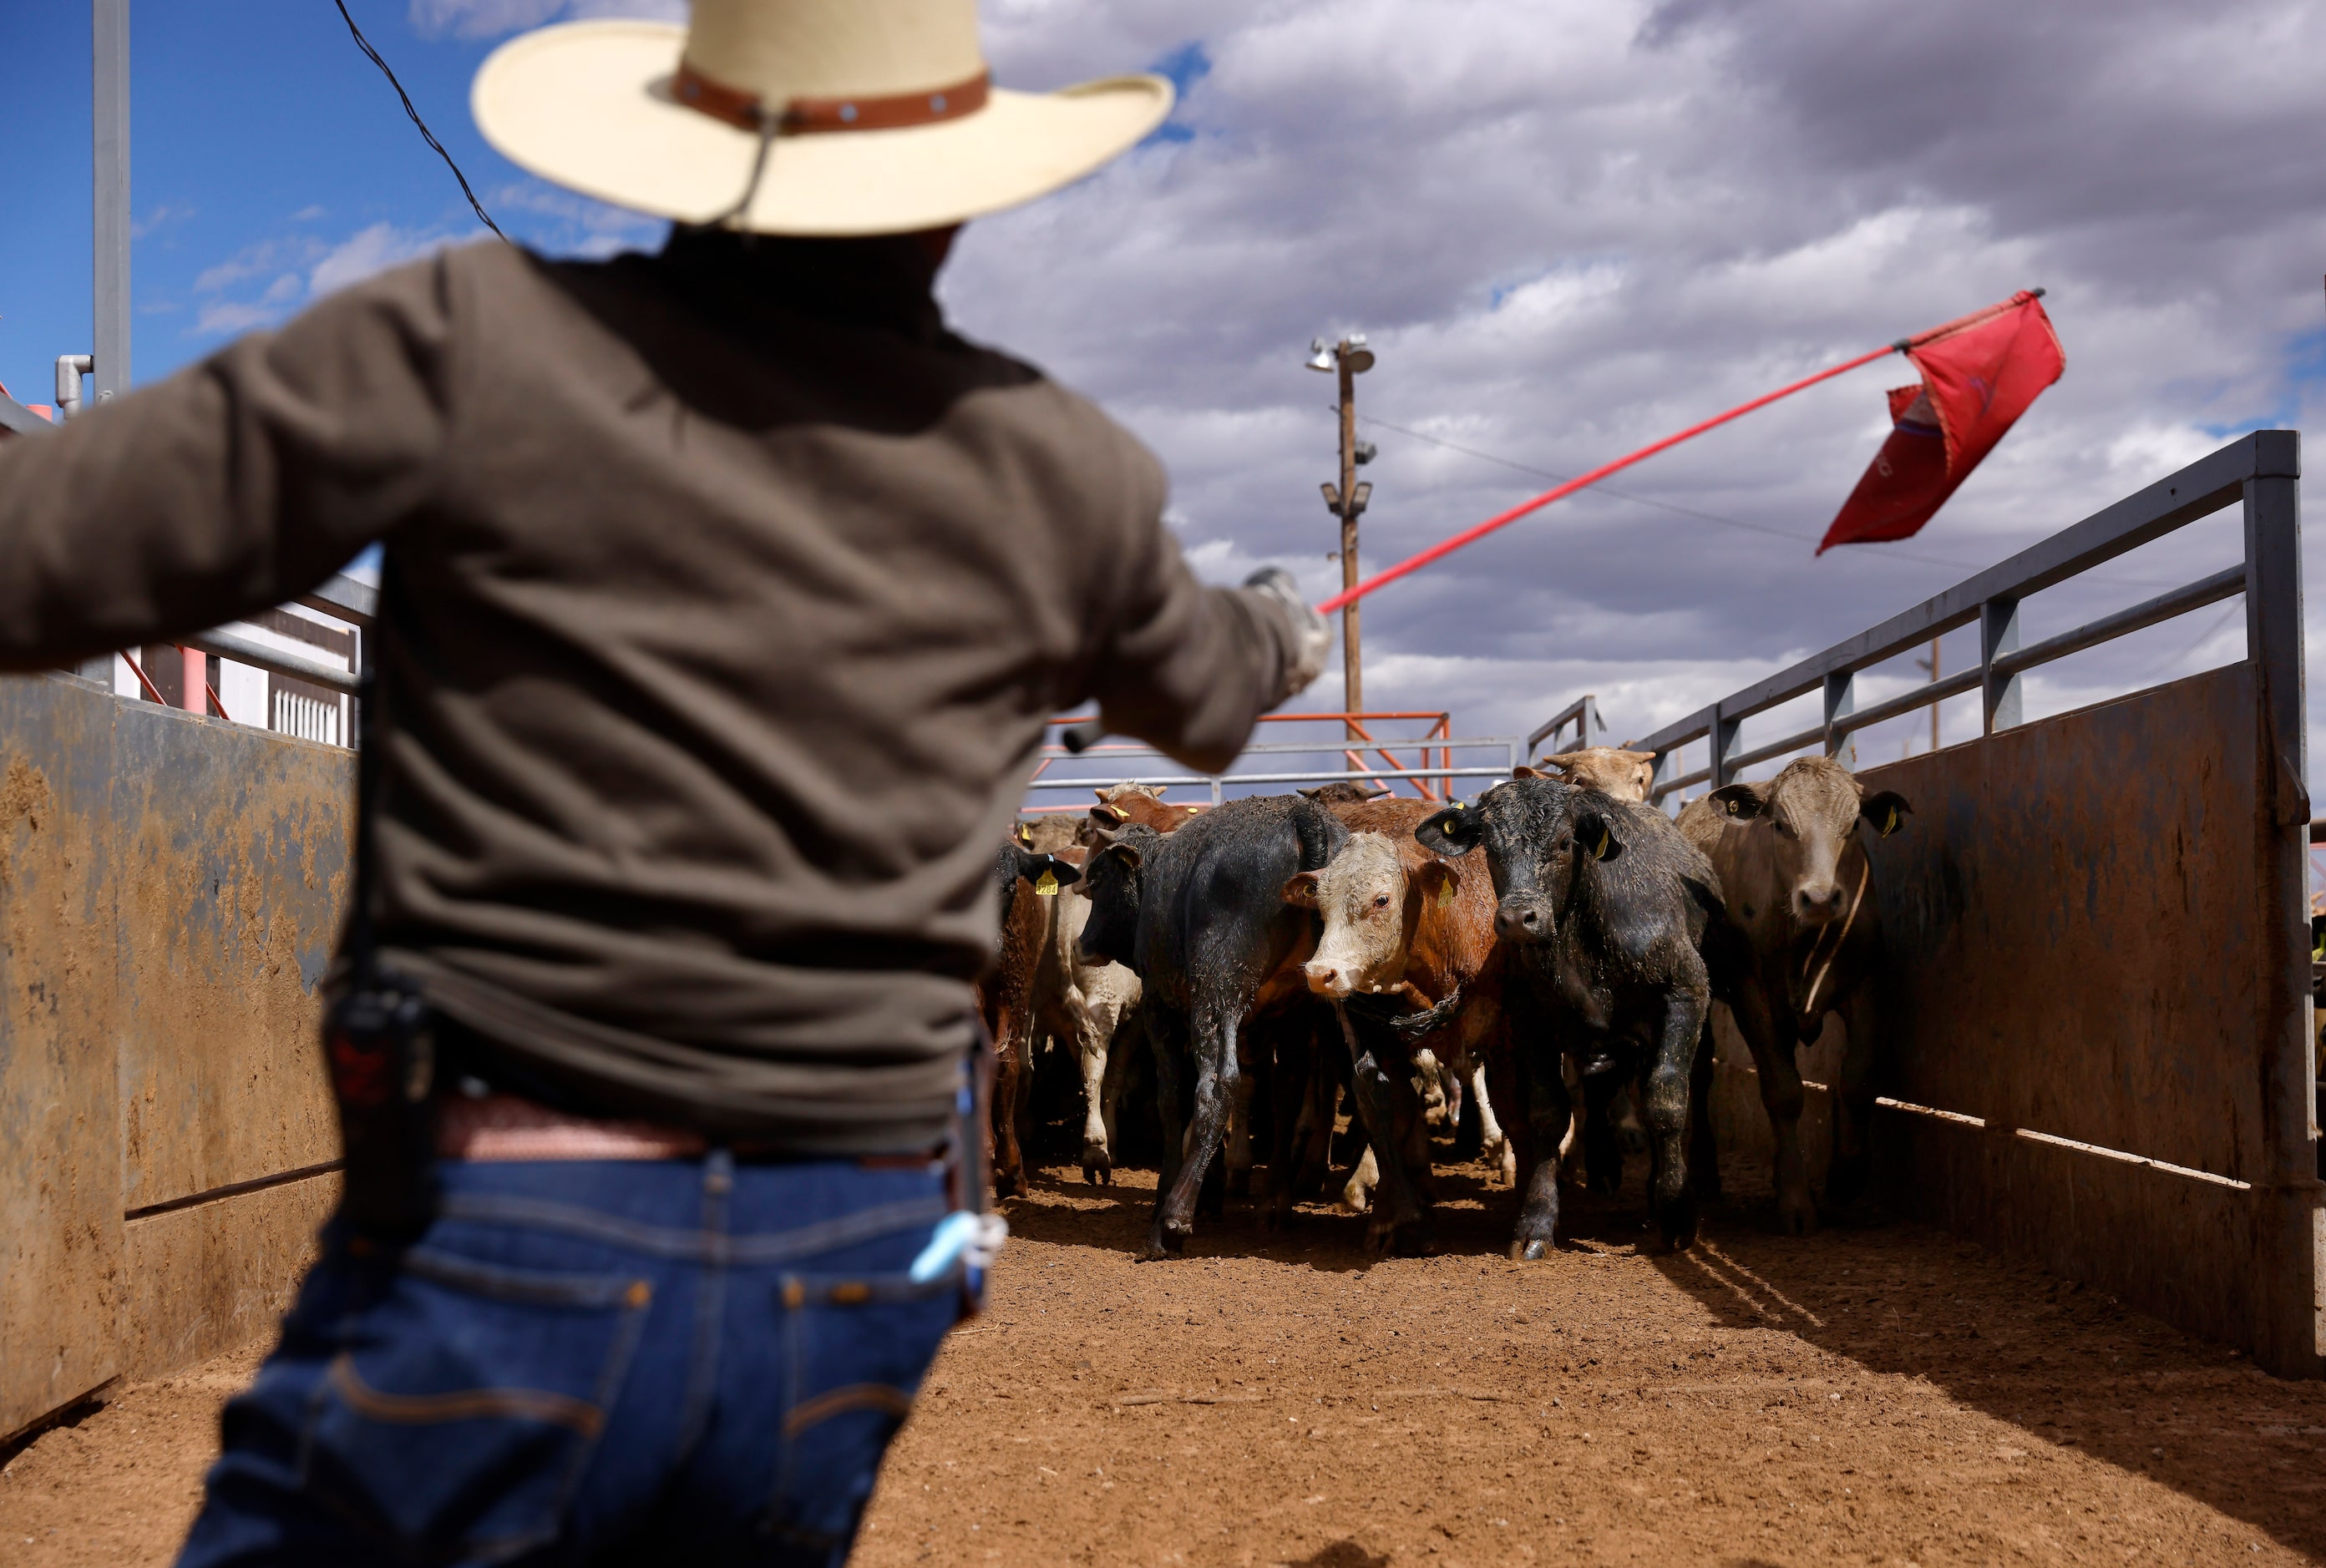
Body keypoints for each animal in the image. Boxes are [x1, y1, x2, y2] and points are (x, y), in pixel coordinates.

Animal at [1079, 800, 1358, 1256]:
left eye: (1098, 880)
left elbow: (1174, 1100)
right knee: (1289, 1092)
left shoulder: (1162, 1009)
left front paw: (1169, 1196)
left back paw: (1172, 1221)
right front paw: (1211, 1191)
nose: (1082, 943)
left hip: (1218, 991)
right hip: (1299, 1010)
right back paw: (1274, 1204)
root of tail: (1303, 814)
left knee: (1218, 1085)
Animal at [1405, 776, 1720, 1256]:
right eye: (1490, 846)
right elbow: (1548, 1114)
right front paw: (1537, 1222)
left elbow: (1665, 1101)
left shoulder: (1685, 992)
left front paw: (1674, 1212)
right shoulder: (1532, 1020)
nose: (1519, 919)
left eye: (1563, 842)